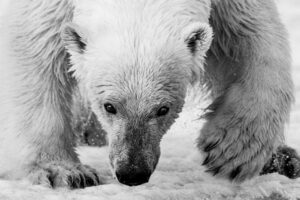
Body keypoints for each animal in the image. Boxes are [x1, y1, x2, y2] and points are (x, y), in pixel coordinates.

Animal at [0, 0, 292, 188]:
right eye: (109, 106)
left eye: (163, 109)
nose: (132, 173)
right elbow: (34, 50)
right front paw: (63, 171)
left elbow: (254, 37)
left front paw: (234, 150)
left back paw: (284, 159)